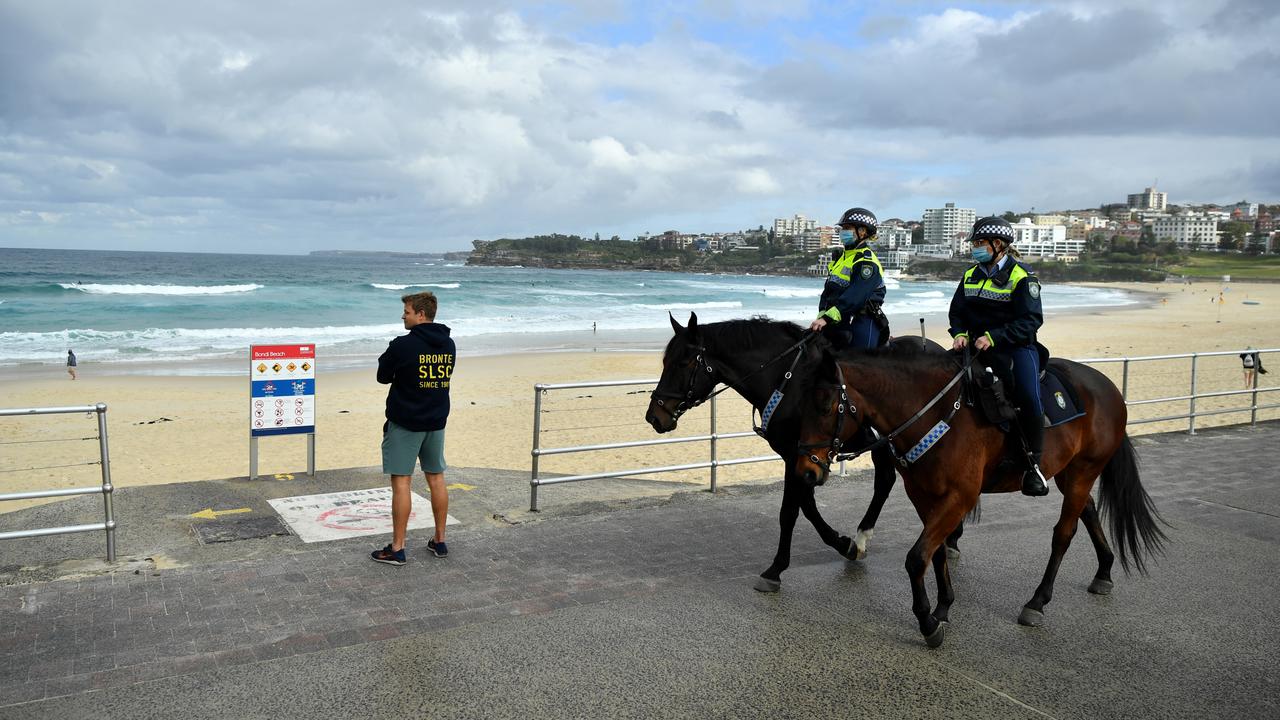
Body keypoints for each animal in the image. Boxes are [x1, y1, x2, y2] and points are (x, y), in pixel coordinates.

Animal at [645, 312, 957, 589]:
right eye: (665, 361)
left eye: (683, 362)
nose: (654, 416)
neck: (785, 379)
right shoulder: (800, 459)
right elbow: (805, 506)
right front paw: (844, 544)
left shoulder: (798, 456)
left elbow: (790, 511)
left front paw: (777, 568)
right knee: (885, 477)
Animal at [793, 340, 1167, 645]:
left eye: (825, 405)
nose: (806, 470)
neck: (934, 412)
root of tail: (1108, 387)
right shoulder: (923, 495)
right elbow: (935, 553)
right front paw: (943, 608)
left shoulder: (960, 497)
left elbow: (917, 557)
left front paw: (928, 623)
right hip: (1069, 473)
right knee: (1088, 509)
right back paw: (1104, 571)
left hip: (1083, 471)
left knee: (1064, 532)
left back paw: (1037, 601)